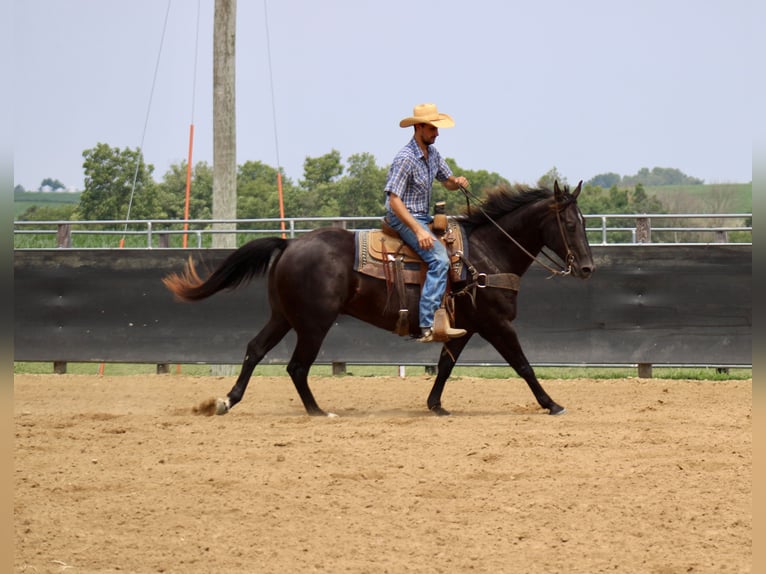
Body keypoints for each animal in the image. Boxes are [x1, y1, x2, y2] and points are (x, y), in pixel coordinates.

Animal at [165, 181, 596, 418]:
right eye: (569, 223)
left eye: (585, 222)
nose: (589, 267)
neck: (486, 253)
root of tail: (289, 244)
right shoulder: (496, 325)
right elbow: (523, 365)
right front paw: (552, 404)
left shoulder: (465, 327)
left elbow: (445, 366)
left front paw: (435, 405)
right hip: (314, 323)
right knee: (296, 366)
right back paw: (318, 411)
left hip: (283, 316)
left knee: (255, 350)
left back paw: (227, 401)